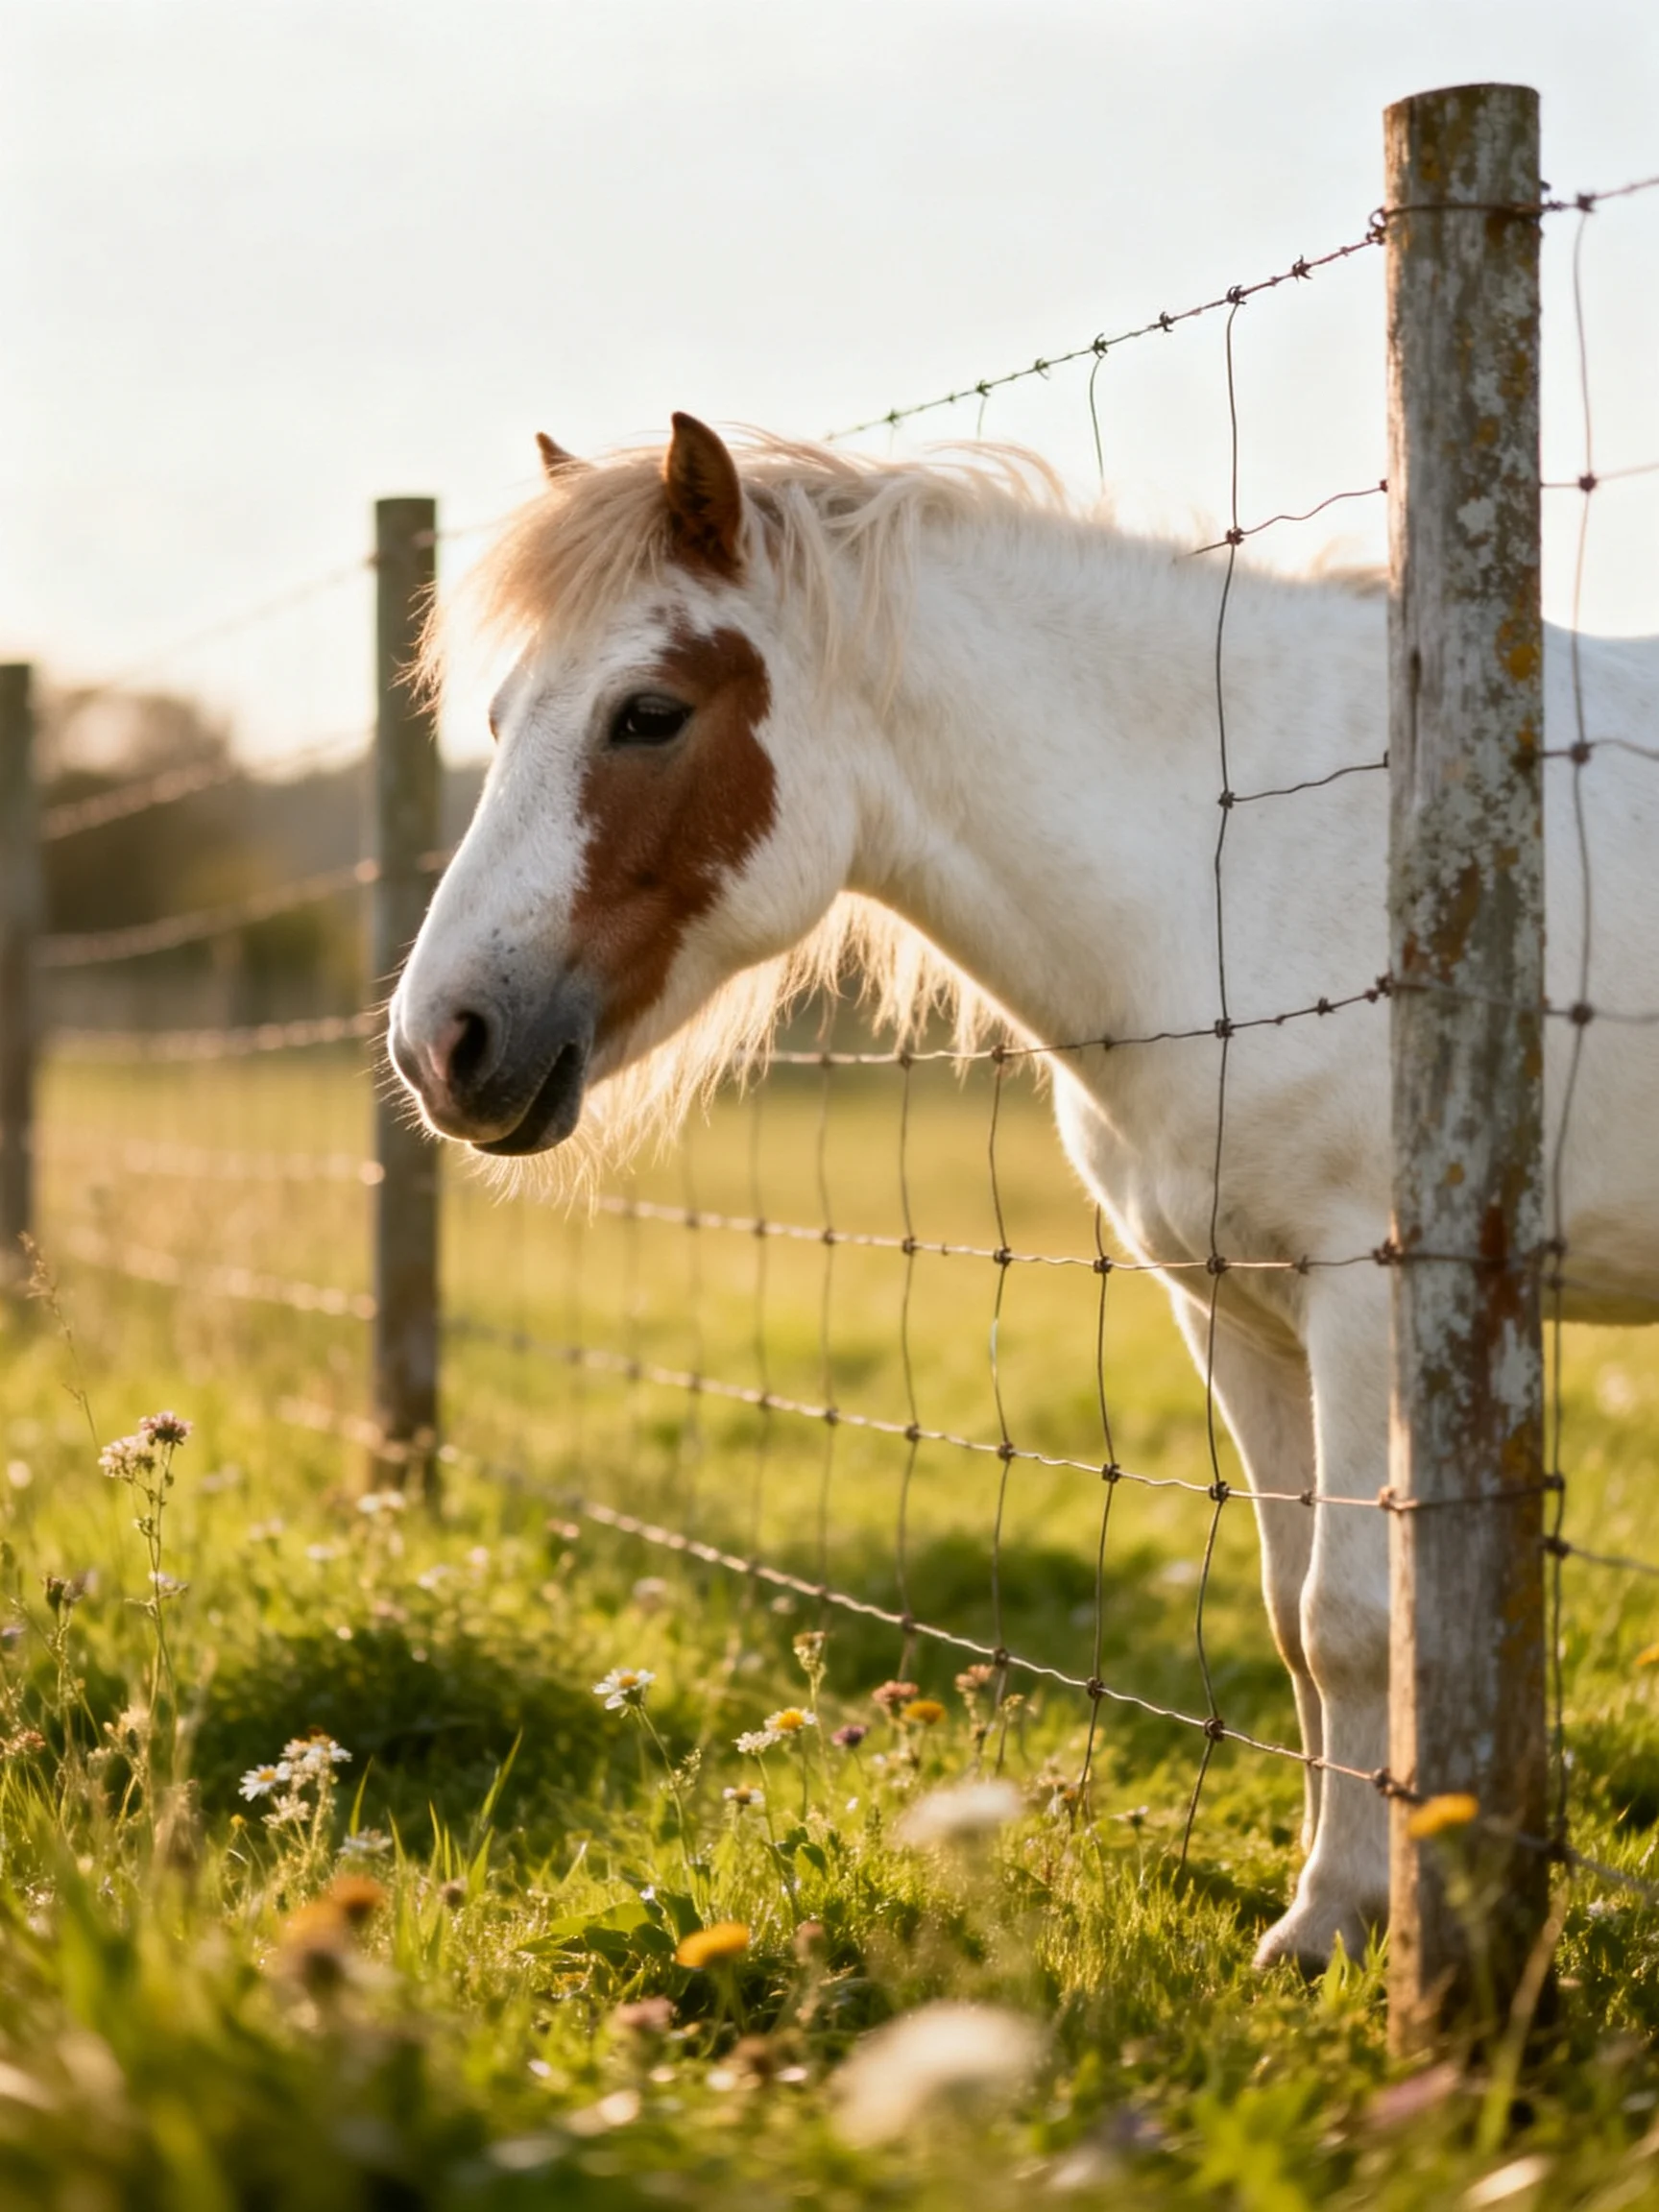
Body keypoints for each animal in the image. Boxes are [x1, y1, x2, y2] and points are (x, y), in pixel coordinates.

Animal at [389, 414, 1659, 1970]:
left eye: (648, 714)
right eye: (499, 718)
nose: (442, 1045)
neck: (1235, 865)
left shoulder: (1369, 1300)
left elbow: (1353, 1615)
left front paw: (1337, 1926)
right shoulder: (1234, 1313)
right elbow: (1291, 1619)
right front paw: (1331, 1893)